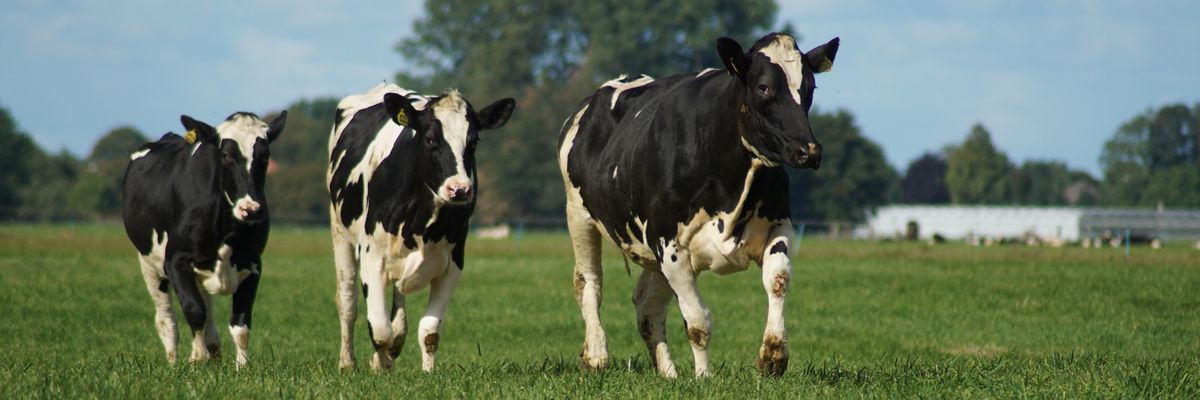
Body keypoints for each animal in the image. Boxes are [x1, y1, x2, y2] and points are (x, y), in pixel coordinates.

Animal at [123, 111, 286, 368]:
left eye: (265, 155)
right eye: (226, 155)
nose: (251, 209)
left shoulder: (253, 264)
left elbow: (241, 323)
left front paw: (242, 367)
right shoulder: (176, 261)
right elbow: (194, 309)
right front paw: (197, 358)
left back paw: (213, 347)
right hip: (149, 264)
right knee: (166, 319)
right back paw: (174, 361)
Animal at [327, 83, 514, 371]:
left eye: (473, 141)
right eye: (429, 139)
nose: (459, 189)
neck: (423, 221)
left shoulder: (453, 263)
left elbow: (429, 331)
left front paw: (427, 372)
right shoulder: (372, 257)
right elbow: (379, 329)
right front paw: (380, 364)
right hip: (340, 233)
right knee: (347, 301)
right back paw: (348, 362)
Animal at [556, 32, 839, 378]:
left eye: (810, 87)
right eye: (763, 87)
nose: (808, 151)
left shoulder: (778, 224)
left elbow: (778, 280)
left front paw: (773, 355)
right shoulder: (671, 247)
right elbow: (698, 322)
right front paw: (704, 377)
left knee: (647, 305)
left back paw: (668, 373)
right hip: (579, 215)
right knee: (589, 283)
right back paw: (597, 356)